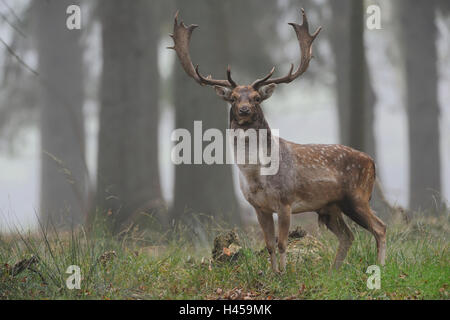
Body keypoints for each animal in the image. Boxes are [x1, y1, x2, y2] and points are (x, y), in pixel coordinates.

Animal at [169, 8, 386, 272]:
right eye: (233, 97)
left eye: (255, 98)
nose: (243, 110)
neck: (255, 176)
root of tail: (372, 161)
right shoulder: (258, 206)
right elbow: (269, 244)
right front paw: (272, 274)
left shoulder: (285, 200)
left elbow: (283, 243)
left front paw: (284, 274)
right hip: (330, 206)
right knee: (348, 235)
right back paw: (334, 272)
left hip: (357, 196)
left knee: (380, 227)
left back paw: (381, 266)